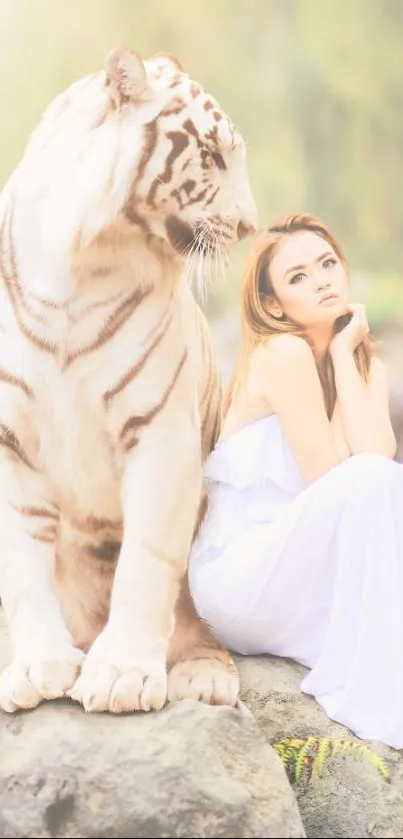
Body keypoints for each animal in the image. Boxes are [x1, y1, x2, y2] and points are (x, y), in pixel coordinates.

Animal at [0, 47, 258, 716]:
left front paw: (120, 675)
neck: (80, 263)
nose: (250, 226)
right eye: (212, 155)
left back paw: (202, 678)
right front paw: (37, 667)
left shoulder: (161, 431)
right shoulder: (8, 440)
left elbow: (146, 559)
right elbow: (22, 563)